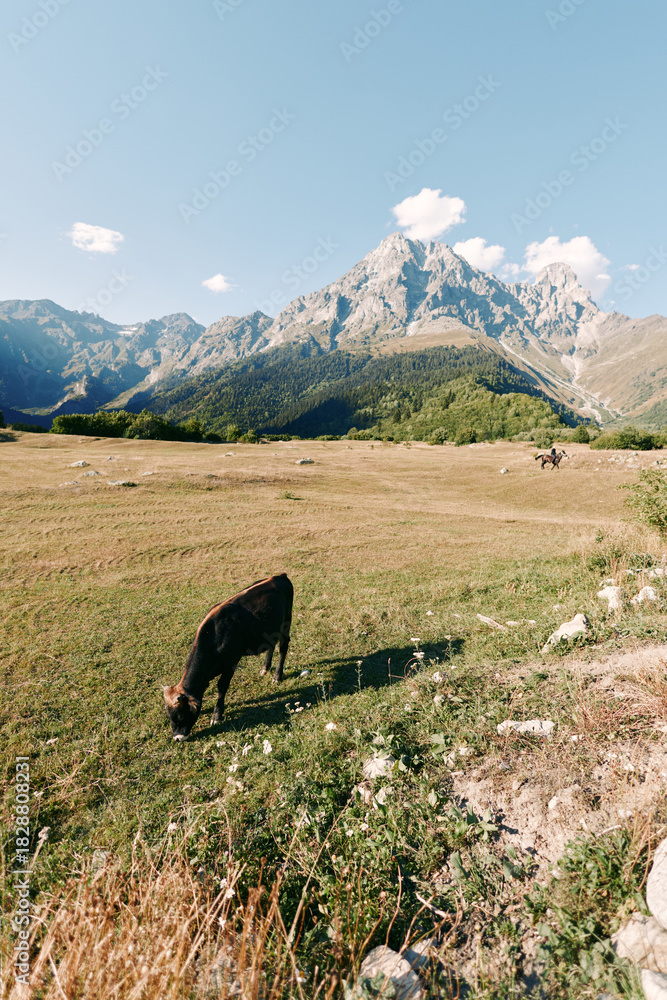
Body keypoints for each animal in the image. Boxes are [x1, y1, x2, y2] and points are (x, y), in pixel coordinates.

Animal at [163, 573, 293, 740]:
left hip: (286, 622)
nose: (177, 738)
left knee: (283, 647)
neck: (214, 634)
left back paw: (277, 675)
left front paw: (217, 715)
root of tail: (279, 576)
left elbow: (222, 686)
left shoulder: (232, 662)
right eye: (169, 716)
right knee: (271, 644)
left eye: (180, 715)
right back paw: (265, 668)